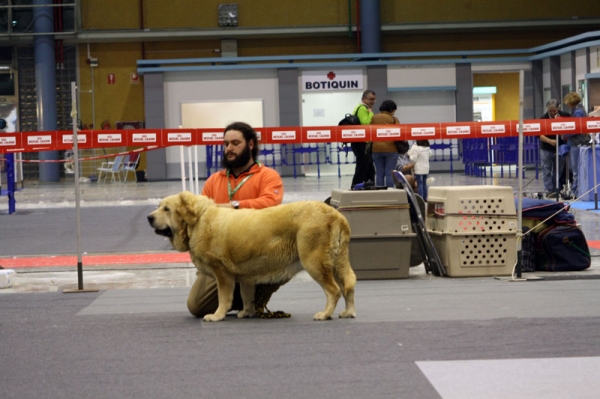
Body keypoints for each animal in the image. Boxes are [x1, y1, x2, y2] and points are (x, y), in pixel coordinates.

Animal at [147, 192, 356, 324]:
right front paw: (247, 312)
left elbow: (224, 297)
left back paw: (325, 314)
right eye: (159, 207)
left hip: (314, 262)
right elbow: (247, 295)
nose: (149, 217)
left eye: (166, 209)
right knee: (348, 284)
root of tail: (335, 214)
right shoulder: (245, 276)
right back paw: (348, 312)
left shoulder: (222, 273)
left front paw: (217, 315)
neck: (198, 221)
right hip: (338, 261)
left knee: (334, 290)